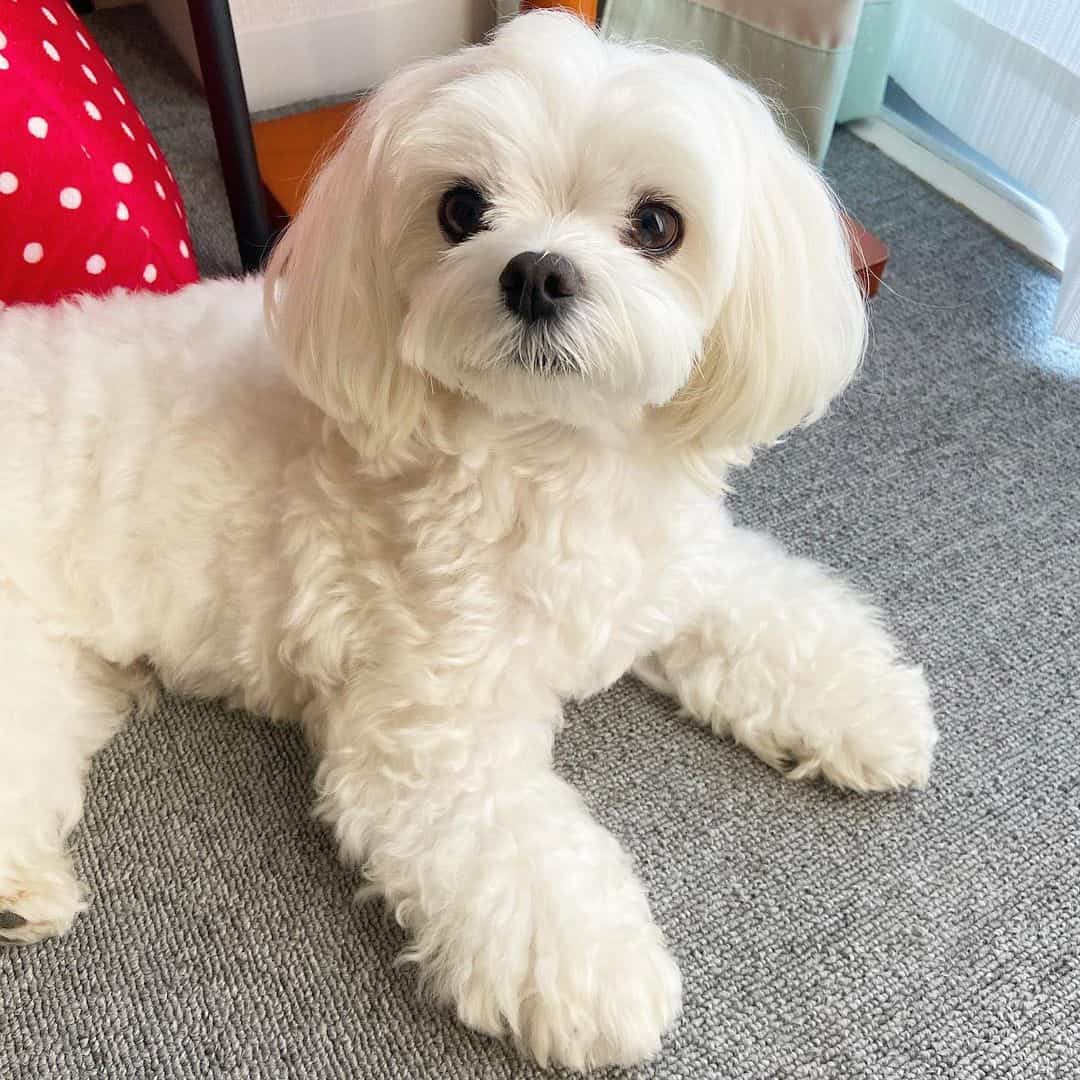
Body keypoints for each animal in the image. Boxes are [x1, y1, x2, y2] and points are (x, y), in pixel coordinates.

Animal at [0, 10, 937, 1071]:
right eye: (460, 208)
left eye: (658, 224)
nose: (536, 271)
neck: (548, 457)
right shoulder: (432, 735)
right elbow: (523, 860)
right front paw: (598, 974)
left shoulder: (669, 574)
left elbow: (774, 618)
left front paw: (865, 704)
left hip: (50, 673)